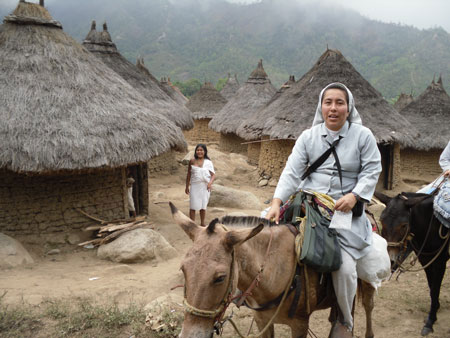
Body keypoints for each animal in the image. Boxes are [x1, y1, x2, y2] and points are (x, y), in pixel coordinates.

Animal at [171, 202, 374, 336]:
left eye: (220, 277)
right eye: (183, 270)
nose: (190, 335)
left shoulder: (300, 325)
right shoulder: (262, 321)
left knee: (366, 306)